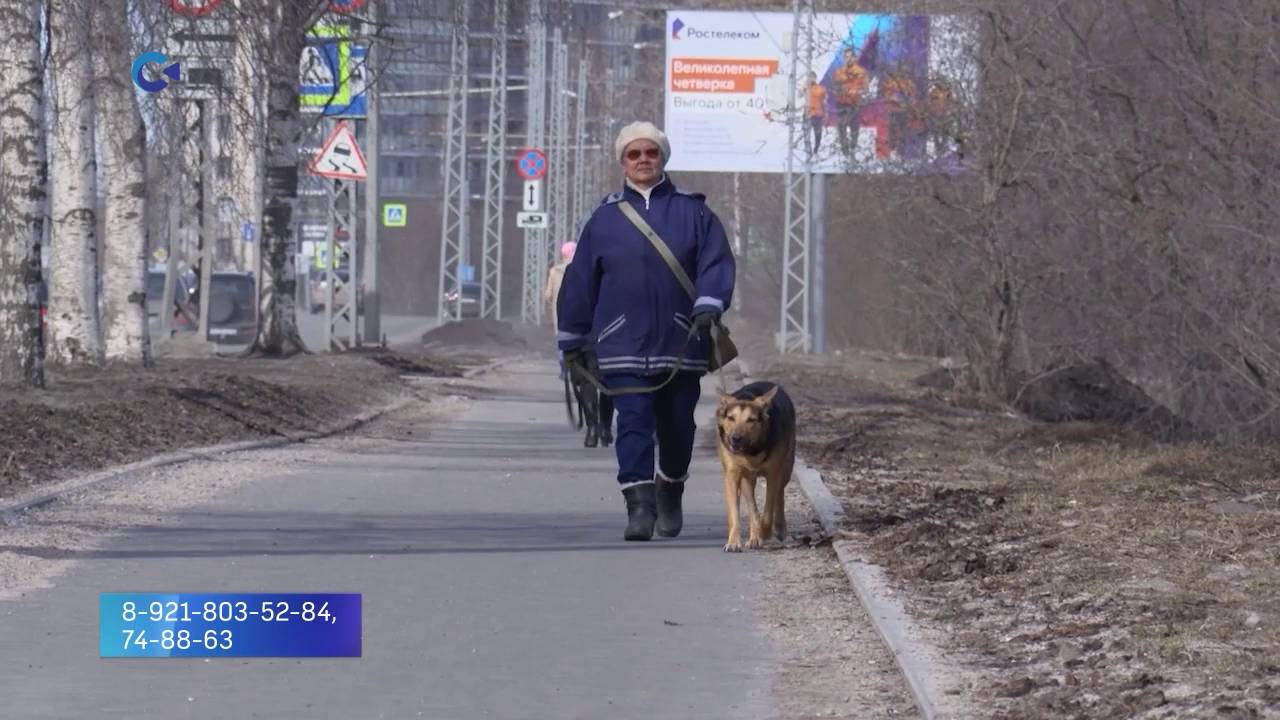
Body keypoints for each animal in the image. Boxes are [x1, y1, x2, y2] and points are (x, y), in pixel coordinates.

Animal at [716, 381, 793, 548]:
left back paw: (779, 528)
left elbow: (768, 509)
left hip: (786, 468)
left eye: (751, 420)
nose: (735, 438)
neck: (752, 451)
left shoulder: (773, 473)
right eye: (731, 418)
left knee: (780, 493)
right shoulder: (734, 474)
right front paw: (734, 542)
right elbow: (742, 511)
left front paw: (764, 532)